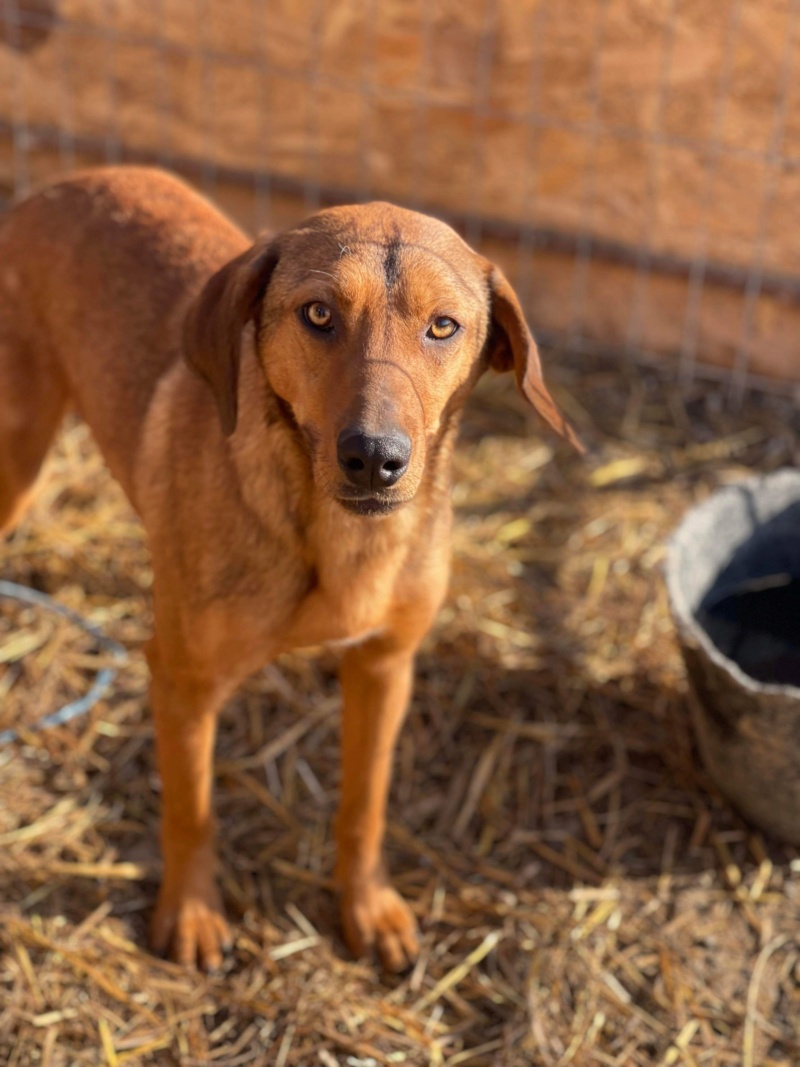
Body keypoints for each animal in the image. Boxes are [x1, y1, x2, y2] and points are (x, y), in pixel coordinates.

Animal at [0, 164, 580, 968]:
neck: (339, 541)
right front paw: (191, 914)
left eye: (443, 326)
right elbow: (192, 810)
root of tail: (65, 181)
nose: (374, 458)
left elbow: (364, 807)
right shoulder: (181, 683)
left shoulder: (385, 667)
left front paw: (366, 907)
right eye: (318, 314)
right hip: (17, 454)